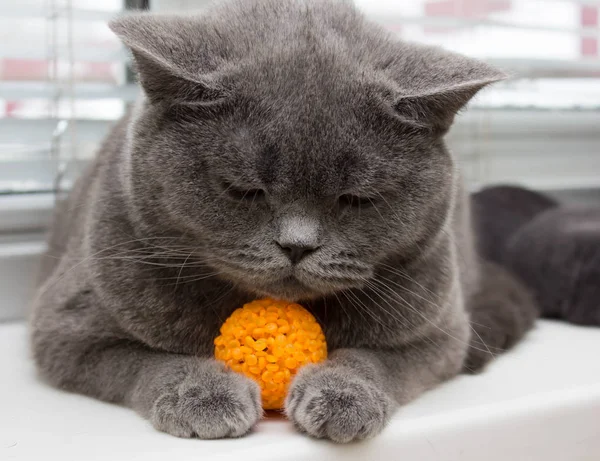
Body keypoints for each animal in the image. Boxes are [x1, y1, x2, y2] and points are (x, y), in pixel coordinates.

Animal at [29, 0, 536, 440]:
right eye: (244, 189)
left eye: (356, 198)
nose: (297, 246)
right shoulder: (65, 328)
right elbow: (146, 360)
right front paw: (203, 393)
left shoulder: (441, 333)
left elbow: (377, 360)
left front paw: (343, 395)